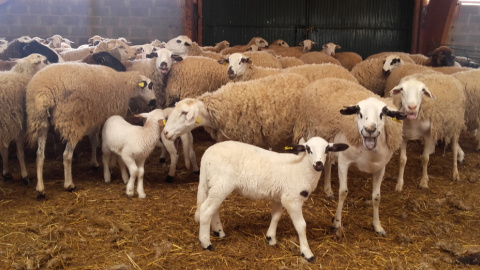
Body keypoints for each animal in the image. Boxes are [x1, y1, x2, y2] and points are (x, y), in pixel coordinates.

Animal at [0, 53, 49, 182]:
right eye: (45, 61)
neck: (24, 74)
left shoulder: (7, 125)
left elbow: (4, 150)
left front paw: (6, 172)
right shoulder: (17, 124)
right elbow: (20, 153)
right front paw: (24, 175)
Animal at [25, 62, 156, 198]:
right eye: (150, 86)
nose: (154, 102)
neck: (125, 85)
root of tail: (44, 93)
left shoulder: (95, 120)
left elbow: (94, 141)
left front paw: (94, 163)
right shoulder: (110, 118)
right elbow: (109, 146)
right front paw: (111, 165)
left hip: (40, 122)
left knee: (40, 155)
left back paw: (40, 189)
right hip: (72, 122)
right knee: (66, 155)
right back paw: (69, 184)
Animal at [195, 137, 348, 262]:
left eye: (327, 149)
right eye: (308, 149)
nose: (319, 164)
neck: (301, 169)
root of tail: (206, 156)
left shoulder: (279, 196)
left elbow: (276, 216)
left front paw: (271, 238)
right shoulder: (291, 199)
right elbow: (301, 225)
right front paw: (307, 252)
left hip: (215, 184)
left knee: (213, 208)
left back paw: (218, 231)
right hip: (221, 183)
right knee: (206, 210)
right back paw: (206, 243)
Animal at [294, 77, 406, 237]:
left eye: (383, 113)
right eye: (359, 112)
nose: (369, 129)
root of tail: (324, 79)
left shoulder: (380, 168)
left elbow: (377, 197)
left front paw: (377, 226)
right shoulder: (344, 161)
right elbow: (343, 192)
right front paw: (337, 223)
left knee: (327, 162)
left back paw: (328, 190)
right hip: (306, 130)